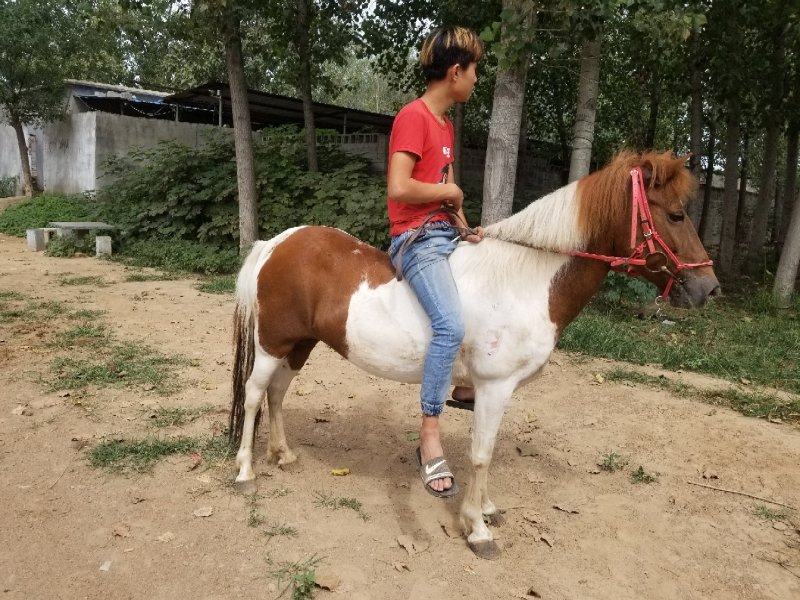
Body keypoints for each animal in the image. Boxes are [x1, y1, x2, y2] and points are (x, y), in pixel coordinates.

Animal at [228, 150, 720, 560]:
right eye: (675, 214)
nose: (710, 289)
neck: (523, 280)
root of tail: (277, 243)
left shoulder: (496, 392)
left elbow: (490, 450)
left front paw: (484, 510)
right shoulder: (494, 387)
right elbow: (482, 453)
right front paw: (478, 530)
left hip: (299, 345)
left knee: (277, 393)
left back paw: (283, 454)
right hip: (272, 343)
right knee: (254, 394)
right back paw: (245, 471)